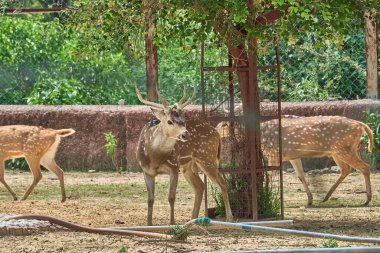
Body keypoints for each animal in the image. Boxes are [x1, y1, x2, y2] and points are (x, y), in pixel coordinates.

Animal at [135, 85, 233, 225]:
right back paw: (193, 219)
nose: (185, 134)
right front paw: (149, 224)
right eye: (169, 121)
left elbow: (171, 197)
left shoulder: (174, 166)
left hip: (207, 157)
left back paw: (229, 218)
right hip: (188, 165)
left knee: (222, 183)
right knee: (200, 186)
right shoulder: (146, 171)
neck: (155, 158)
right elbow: (150, 199)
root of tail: (217, 133)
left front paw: (172, 223)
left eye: (184, 121)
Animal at [218, 107, 372, 207]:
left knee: (364, 167)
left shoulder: (275, 152)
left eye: (223, 123)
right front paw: (309, 200)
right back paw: (325, 197)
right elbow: (300, 176)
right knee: (346, 169)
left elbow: (270, 175)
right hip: (338, 151)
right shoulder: (293, 156)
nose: (215, 131)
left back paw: (367, 199)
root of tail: (361, 125)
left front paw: (265, 193)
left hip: (344, 149)